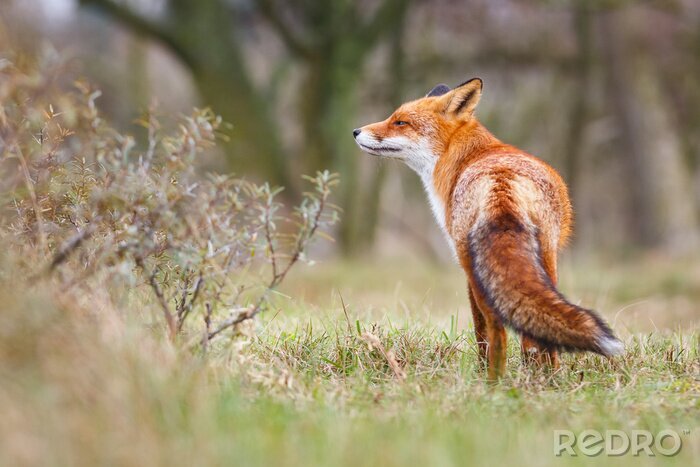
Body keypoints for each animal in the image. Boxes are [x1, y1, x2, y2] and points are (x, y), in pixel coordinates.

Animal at [353, 78, 624, 380]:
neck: (470, 156)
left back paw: (492, 381)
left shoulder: (465, 269)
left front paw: (483, 369)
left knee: (495, 329)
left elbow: (479, 329)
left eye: (400, 122)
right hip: (546, 260)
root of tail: (500, 182)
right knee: (538, 326)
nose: (356, 131)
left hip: (477, 269)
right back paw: (547, 377)